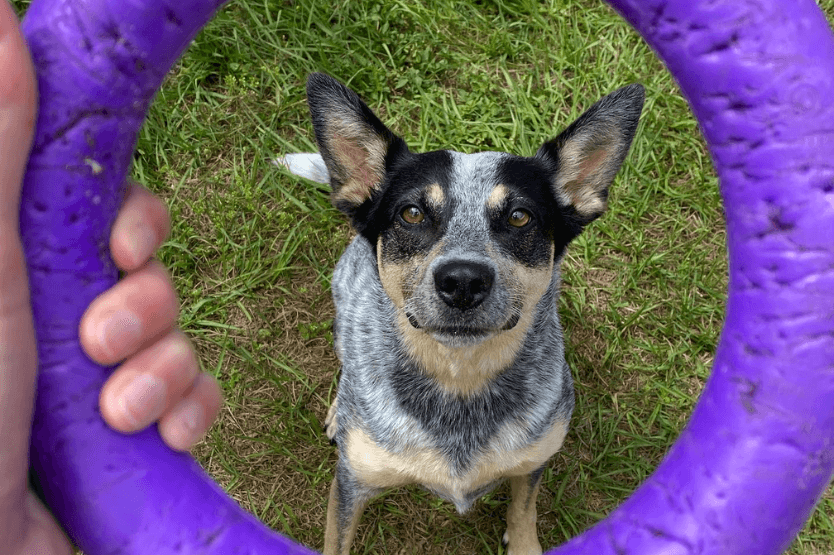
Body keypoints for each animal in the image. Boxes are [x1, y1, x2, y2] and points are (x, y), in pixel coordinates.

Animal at [280, 75, 644, 555]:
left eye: (520, 216)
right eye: (412, 213)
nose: (463, 280)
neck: (460, 380)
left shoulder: (532, 461)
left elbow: (523, 512)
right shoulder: (351, 484)